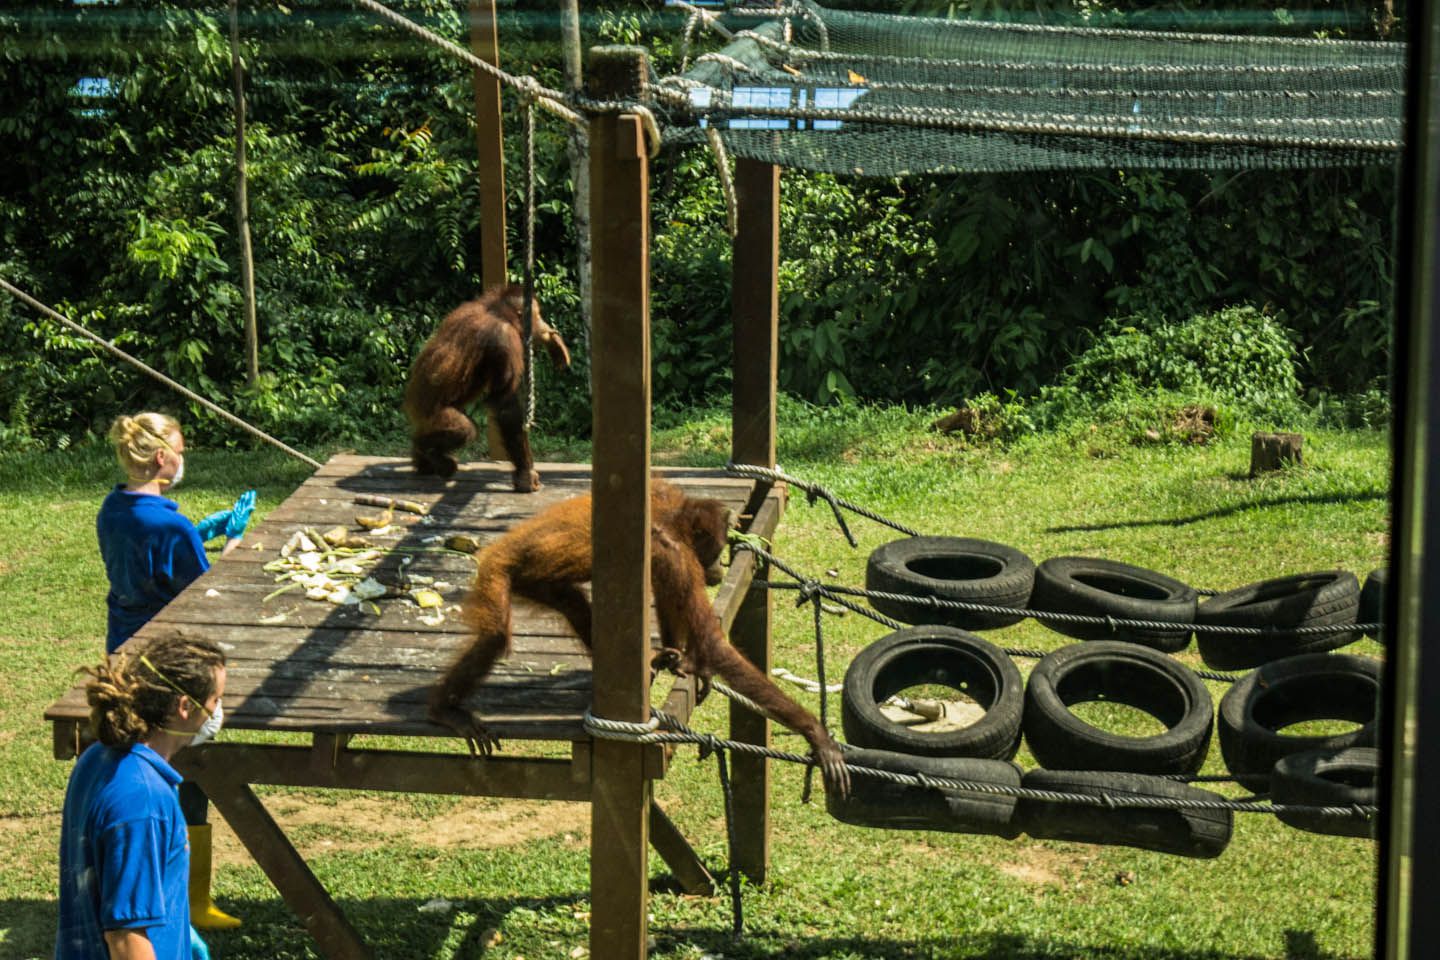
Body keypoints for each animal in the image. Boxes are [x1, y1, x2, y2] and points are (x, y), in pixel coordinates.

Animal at [403, 285, 571, 491]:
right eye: (537, 315)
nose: (543, 323)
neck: (499, 313)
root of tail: (411, 406)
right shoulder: (503, 337)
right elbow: (505, 405)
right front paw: (525, 474)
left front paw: (554, 343)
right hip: (431, 414)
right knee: (465, 430)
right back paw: (427, 451)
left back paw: (422, 460)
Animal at [428, 478, 851, 797]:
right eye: (715, 550)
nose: (718, 568)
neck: (671, 516)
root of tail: (497, 549)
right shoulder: (674, 550)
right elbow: (710, 638)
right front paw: (816, 733)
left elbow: (666, 594)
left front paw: (681, 658)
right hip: (496, 573)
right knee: (495, 639)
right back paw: (443, 711)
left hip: (533, 579)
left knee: (573, 604)